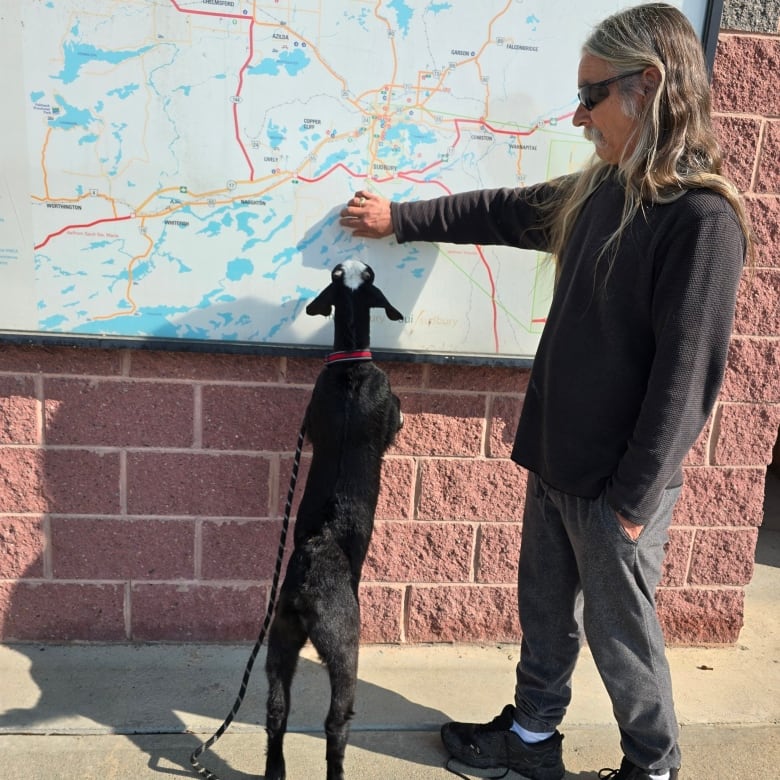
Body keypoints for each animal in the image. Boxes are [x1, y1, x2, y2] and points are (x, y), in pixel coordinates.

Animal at [266, 258, 406, 776]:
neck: (349, 362)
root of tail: (307, 579)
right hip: (345, 645)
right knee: (335, 722)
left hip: (280, 639)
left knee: (277, 711)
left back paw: (276, 770)